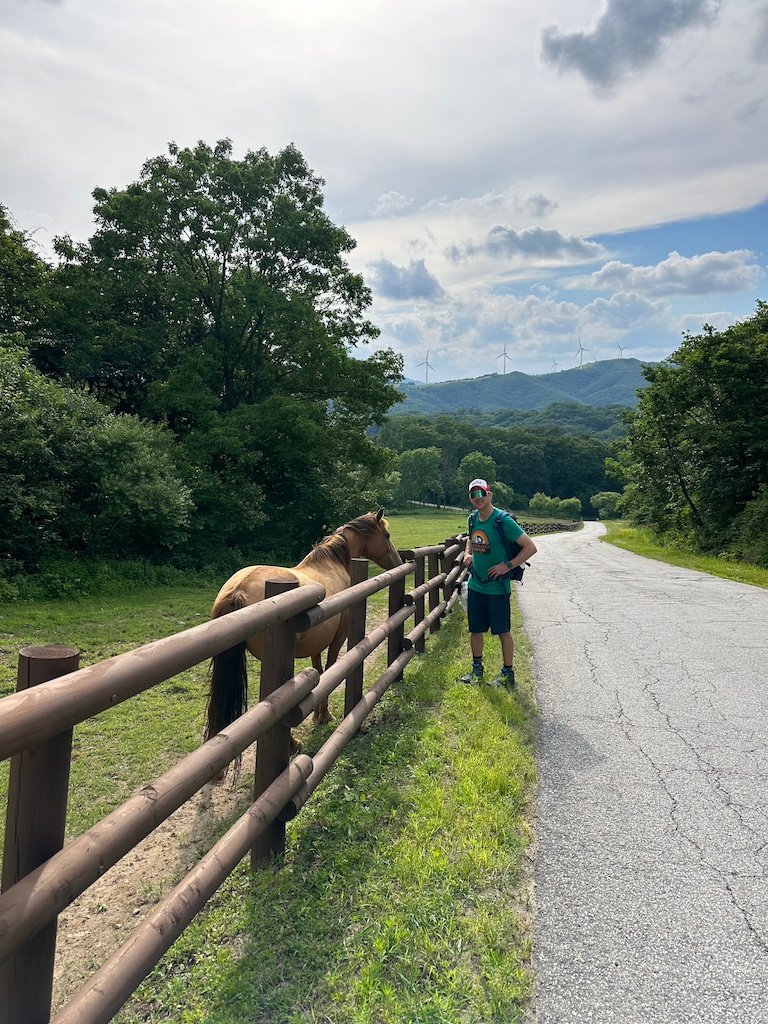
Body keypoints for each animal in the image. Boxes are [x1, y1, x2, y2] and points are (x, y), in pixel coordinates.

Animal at [204, 509, 403, 745]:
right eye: (387, 535)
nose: (398, 561)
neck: (332, 563)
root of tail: (239, 589)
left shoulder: (317, 640)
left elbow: (318, 670)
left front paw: (317, 714)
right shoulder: (338, 637)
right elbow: (330, 668)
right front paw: (325, 714)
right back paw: (292, 745)